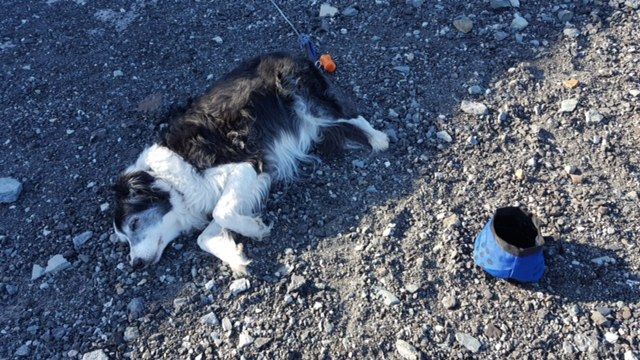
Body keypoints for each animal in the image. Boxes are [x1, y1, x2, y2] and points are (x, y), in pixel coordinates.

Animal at [112, 52, 388, 274]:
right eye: (123, 239)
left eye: (134, 224)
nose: (135, 264)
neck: (168, 181)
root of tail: (292, 53)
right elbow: (206, 235)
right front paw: (235, 256)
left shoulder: (246, 166)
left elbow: (221, 212)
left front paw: (254, 229)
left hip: (309, 103)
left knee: (352, 115)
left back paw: (378, 139)